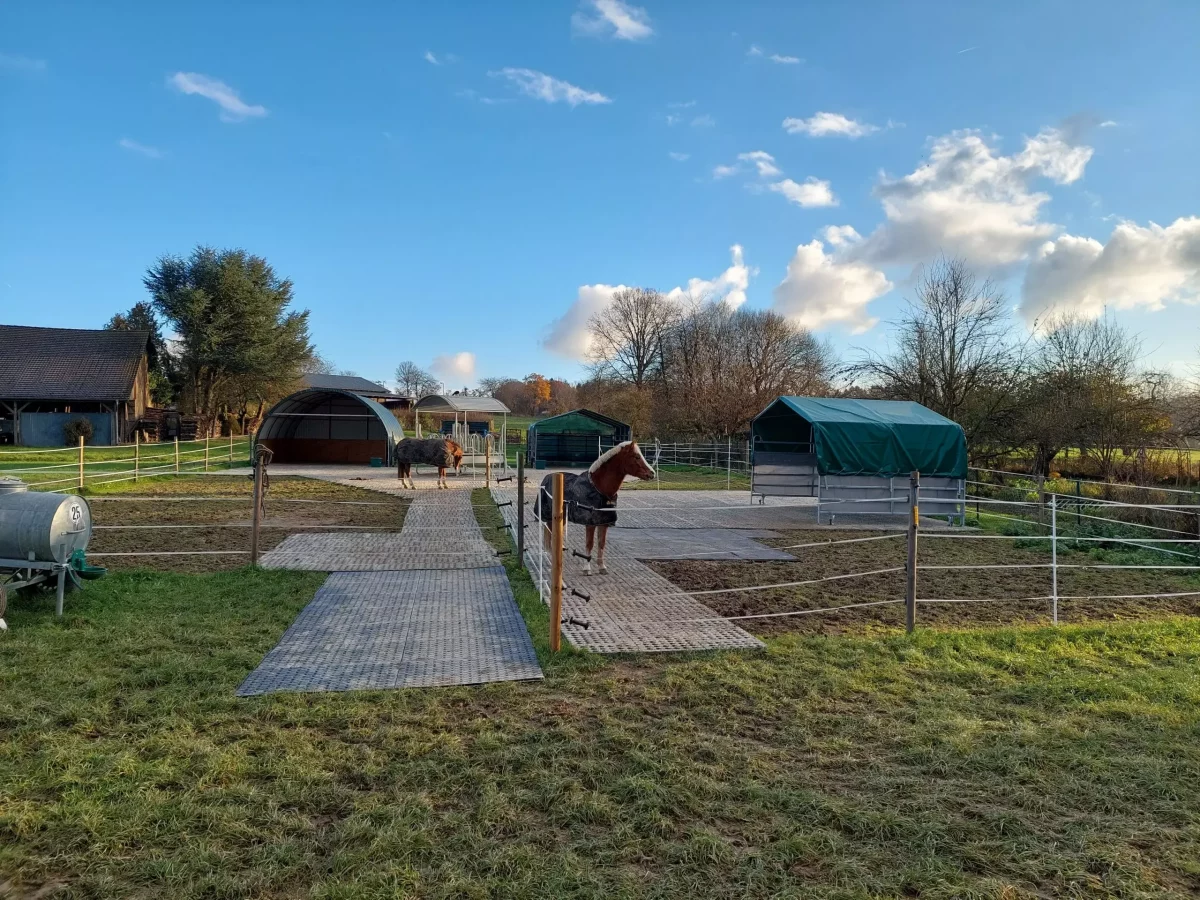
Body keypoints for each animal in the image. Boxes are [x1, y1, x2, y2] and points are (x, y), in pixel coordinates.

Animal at [535, 440, 655, 575]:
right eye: (637, 456)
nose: (652, 473)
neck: (600, 488)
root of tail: (547, 478)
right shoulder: (590, 523)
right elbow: (589, 543)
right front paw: (587, 568)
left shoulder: (604, 523)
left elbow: (601, 543)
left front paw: (602, 567)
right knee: (551, 534)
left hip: (561, 518)